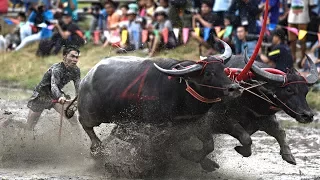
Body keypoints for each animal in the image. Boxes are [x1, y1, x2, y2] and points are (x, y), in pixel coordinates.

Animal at [76, 41, 244, 155]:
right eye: (208, 73)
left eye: (224, 69)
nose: (234, 88)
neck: (181, 89)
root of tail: (86, 78)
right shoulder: (156, 127)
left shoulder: (194, 122)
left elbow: (208, 145)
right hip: (93, 115)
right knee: (84, 123)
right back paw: (97, 146)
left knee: (118, 132)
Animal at [175, 51, 318, 171]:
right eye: (289, 90)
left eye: (306, 91)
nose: (308, 115)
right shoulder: (221, 121)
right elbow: (246, 138)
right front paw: (240, 149)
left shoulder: (265, 119)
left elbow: (281, 133)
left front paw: (289, 156)